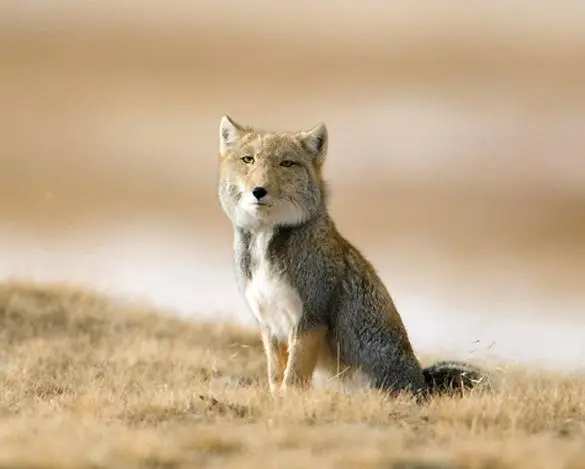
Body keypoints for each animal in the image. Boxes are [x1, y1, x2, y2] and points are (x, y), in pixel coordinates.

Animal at [217, 115, 486, 396]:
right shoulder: (270, 325)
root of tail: (422, 384)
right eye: (248, 159)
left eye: (286, 163)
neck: (266, 241)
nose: (259, 191)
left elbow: (293, 378)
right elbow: (275, 376)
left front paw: (287, 399)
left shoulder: (309, 319)